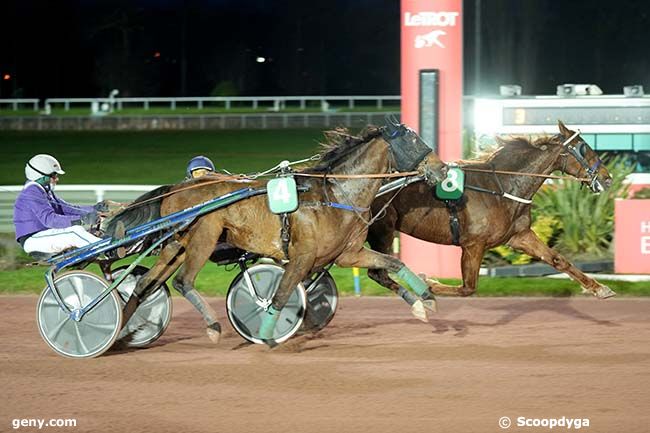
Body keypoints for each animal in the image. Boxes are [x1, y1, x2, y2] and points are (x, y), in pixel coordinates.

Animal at [115, 125, 446, 344]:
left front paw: (424, 299)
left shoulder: (349, 253)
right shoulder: (302, 256)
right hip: (205, 236)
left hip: (175, 245)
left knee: (144, 283)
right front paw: (266, 334)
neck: (334, 195)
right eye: (414, 140)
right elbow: (281, 293)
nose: (442, 169)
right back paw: (212, 326)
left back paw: (120, 332)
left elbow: (394, 264)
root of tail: (175, 188)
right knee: (183, 281)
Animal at [368, 120, 616, 298]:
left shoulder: (519, 236)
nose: (608, 178)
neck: (503, 188)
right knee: (377, 271)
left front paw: (599, 288)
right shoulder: (473, 245)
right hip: (382, 228)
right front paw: (427, 283)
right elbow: (467, 288)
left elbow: (558, 260)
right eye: (584, 149)